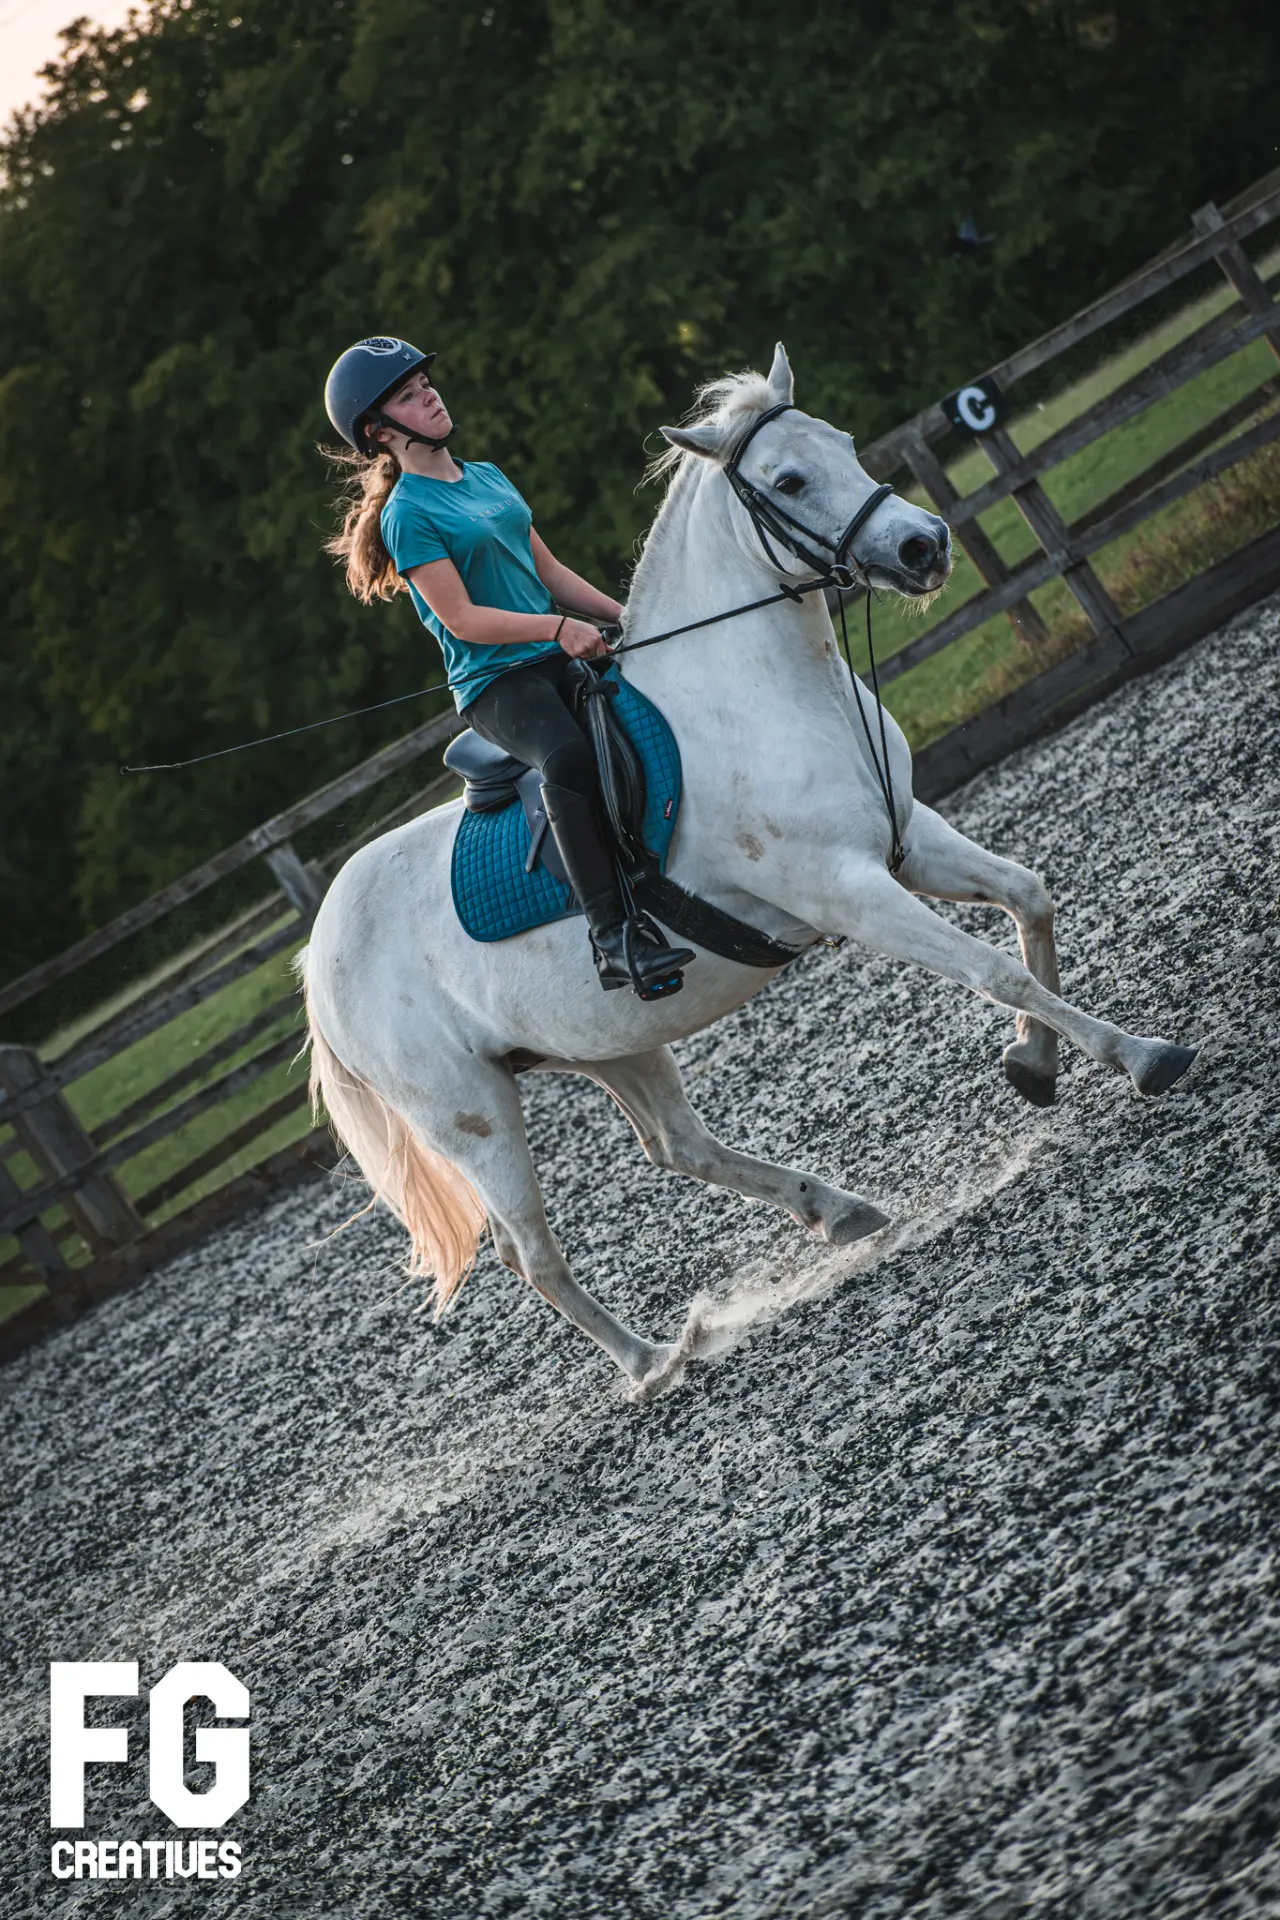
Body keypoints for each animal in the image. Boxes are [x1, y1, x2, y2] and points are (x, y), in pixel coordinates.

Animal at [299, 344, 1197, 1386]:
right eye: (789, 481)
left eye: (842, 442)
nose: (924, 547)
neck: (762, 694)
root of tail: (319, 955)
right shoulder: (849, 892)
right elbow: (991, 968)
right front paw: (1140, 1056)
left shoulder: (913, 841)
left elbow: (1029, 898)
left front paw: (1035, 1063)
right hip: (469, 1111)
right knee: (529, 1251)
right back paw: (654, 1362)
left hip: (608, 1036)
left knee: (678, 1146)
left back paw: (839, 1213)